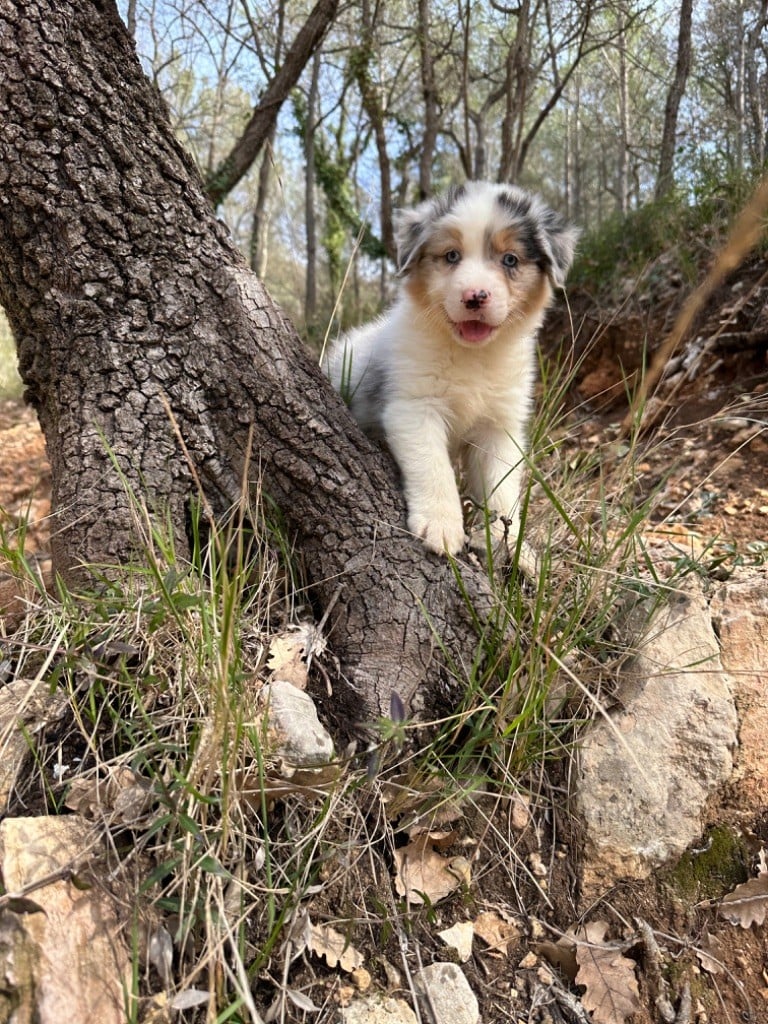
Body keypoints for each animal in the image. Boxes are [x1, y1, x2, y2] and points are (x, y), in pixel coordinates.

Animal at [325, 180, 577, 557]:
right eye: (451, 256)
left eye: (510, 259)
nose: (475, 296)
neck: (472, 355)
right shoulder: (415, 408)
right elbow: (433, 467)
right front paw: (441, 527)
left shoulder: (499, 426)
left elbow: (502, 490)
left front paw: (511, 546)